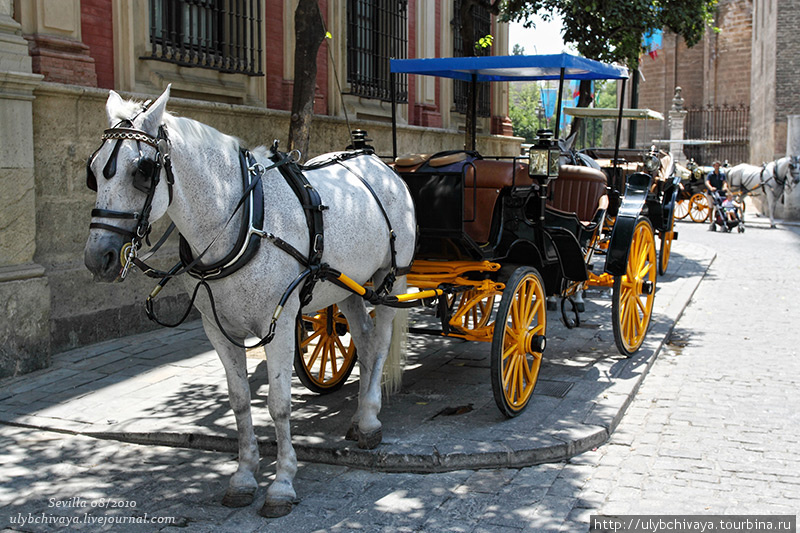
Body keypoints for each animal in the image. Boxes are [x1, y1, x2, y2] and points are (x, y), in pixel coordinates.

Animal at [83, 86, 416, 516]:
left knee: (382, 339)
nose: (98, 258)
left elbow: (277, 403)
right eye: (93, 172)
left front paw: (282, 482)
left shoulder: (280, 325)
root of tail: (377, 162)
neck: (242, 222)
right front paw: (244, 476)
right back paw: (361, 416)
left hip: (390, 279)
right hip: (346, 285)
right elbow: (240, 401)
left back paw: (372, 419)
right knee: (363, 336)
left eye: (142, 171)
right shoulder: (218, 330)